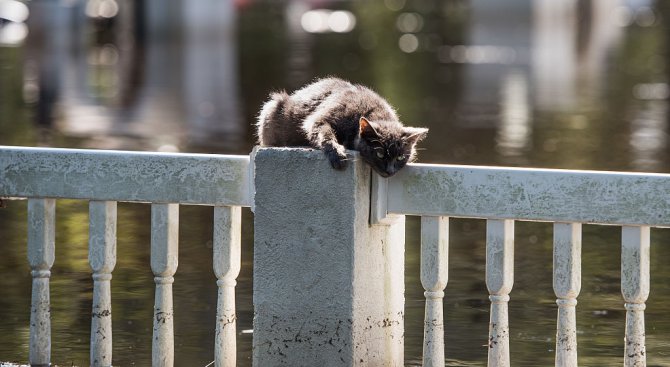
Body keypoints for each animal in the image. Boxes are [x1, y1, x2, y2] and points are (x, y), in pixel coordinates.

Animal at [258, 77, 430, 178]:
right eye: (380, 154)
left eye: (400, 157)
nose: (389, 171)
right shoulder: (321, 119)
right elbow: (325, 133)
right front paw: (337, 154)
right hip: (271, 108)